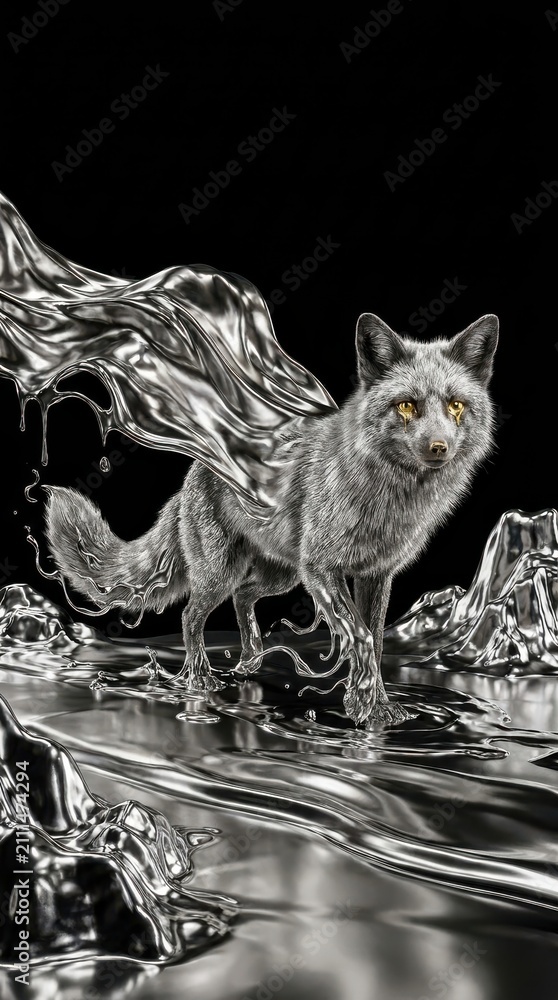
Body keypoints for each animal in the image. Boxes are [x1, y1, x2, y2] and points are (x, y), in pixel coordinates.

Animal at [44, 312, 499, 726]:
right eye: (407, 405)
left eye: (456, 406)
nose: (439, 447)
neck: (388, 502)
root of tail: (194, 472)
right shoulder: (322, 569)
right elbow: (363, 638)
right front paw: (366, 709)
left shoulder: (375, 576)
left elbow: (375, 641)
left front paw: (373, 705)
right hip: (228, 574)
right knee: (191, 615)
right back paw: (199, 679)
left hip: (283, 575)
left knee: (243, 597)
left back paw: (250, 660)